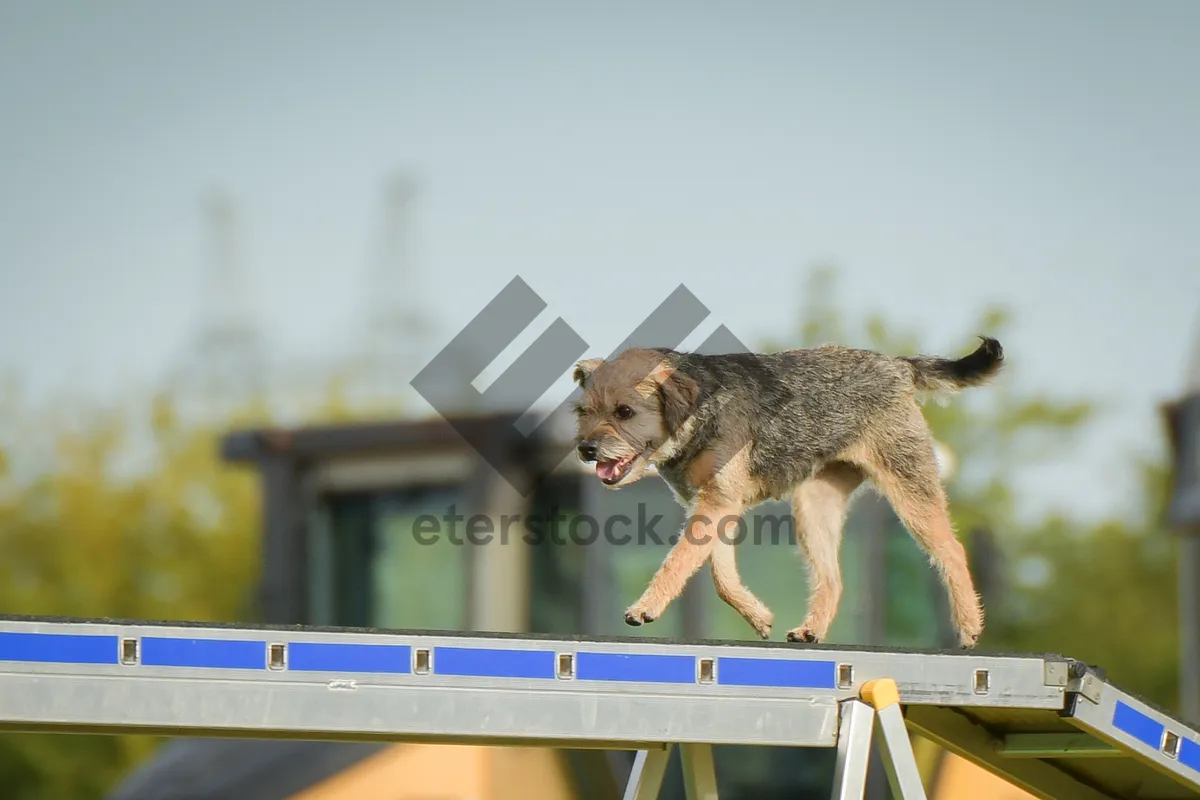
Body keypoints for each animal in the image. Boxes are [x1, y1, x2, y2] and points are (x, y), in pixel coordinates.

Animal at [571, 335, 1003, 647]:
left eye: (625, 412)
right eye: (583, 413)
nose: (586, 449)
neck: (696, 412)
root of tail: (897, 365)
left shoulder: (716, 502)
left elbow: (679, 560)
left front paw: (646, 607)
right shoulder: (716, 506)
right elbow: (719, 574)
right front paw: (758, 614)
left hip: (909, 486)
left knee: (952, 550)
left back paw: (969, 625)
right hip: (813, 507)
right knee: (833, 578)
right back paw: (811, 629)